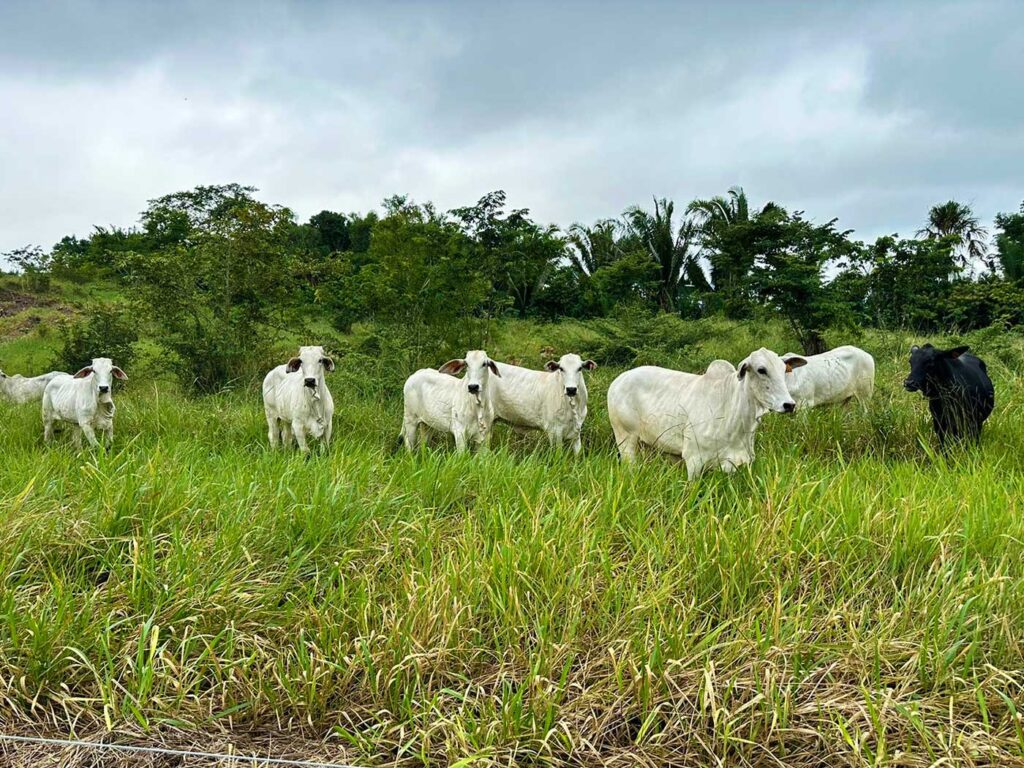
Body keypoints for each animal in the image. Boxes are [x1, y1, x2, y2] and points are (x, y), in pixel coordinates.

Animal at [606, 350, 806, 481]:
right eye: (761, 370)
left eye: (784, 370)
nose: (789, 405)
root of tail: (618, 380)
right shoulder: (694, 461)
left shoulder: (740, 462)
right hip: (625, 439)